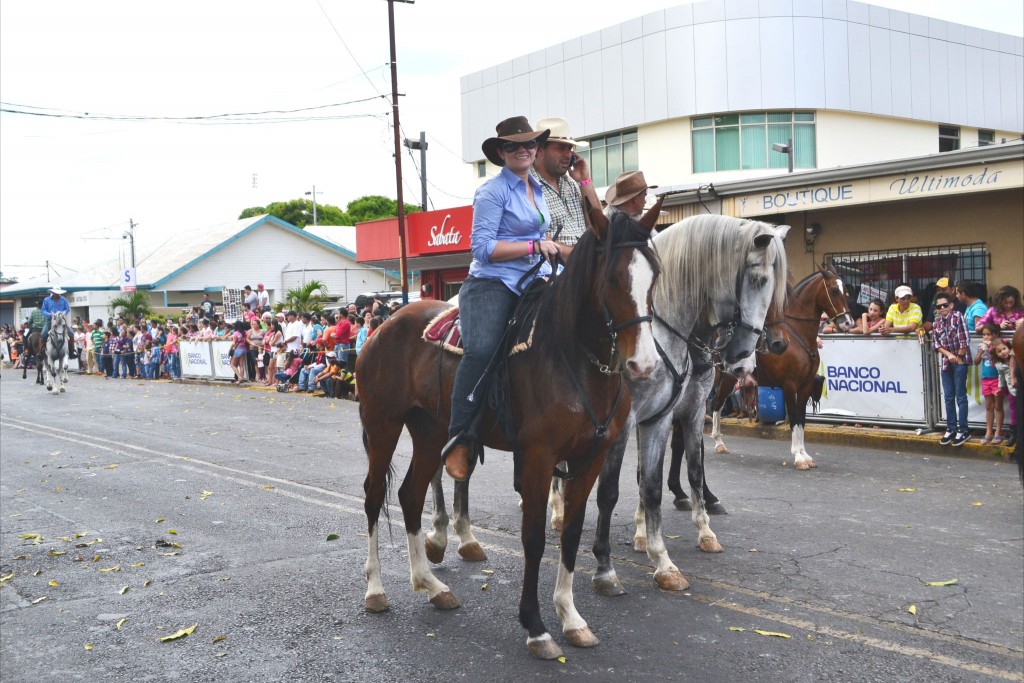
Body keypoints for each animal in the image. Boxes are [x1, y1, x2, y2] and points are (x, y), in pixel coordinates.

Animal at [358, 205, 663, 659]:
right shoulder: (537, 457)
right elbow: (533, 538)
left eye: (655, 275)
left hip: (430, 432)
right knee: (374, 495)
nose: (644, 364)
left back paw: (431, 585)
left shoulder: (589, 457)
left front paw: (571, 617)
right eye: (611, 278)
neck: (571, 356)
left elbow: (571, 532)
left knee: (410, 495)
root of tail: (384, 324)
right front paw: (536, 626)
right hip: (382, 424)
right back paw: (376, 589)